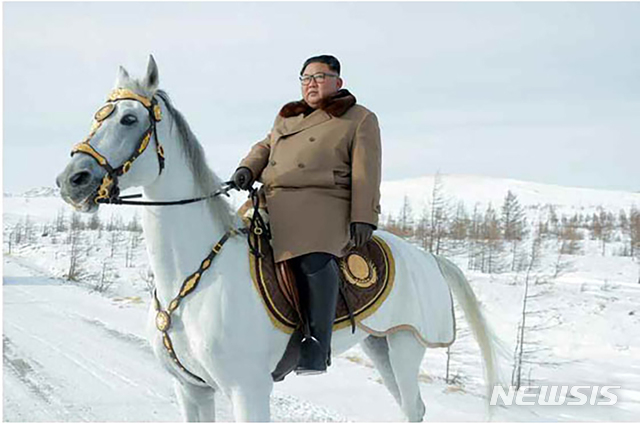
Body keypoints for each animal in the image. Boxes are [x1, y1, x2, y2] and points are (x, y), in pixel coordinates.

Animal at [57, 55, 502, 420]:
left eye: (128, 120)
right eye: (98, 115)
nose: (72, 180)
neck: (191, 277)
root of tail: (428, 258)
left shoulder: (248, 391)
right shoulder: (191, 389)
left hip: (406, 346)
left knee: (413, 407)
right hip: (379, 347)